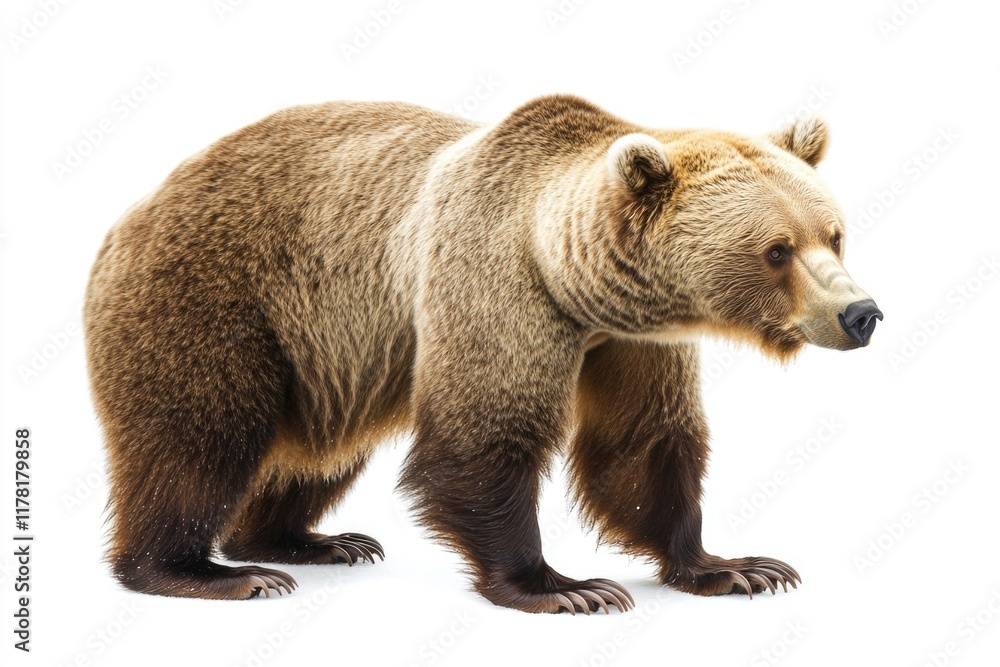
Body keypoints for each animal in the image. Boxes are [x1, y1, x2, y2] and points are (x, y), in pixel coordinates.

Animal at [83, 94, 882, 614]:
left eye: (834, 234)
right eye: (776, 249)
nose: (861, 313)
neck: (575, 282)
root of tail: (126, 218)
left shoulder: (633, 340)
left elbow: (643, 444)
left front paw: (736, 567)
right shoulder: (496, 287)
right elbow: (483, 439)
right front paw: (565, 586)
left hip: (327, 356)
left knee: (317, 452)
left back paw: (317, 540)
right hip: (216, 300)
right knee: (199, 436)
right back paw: (209, 571)